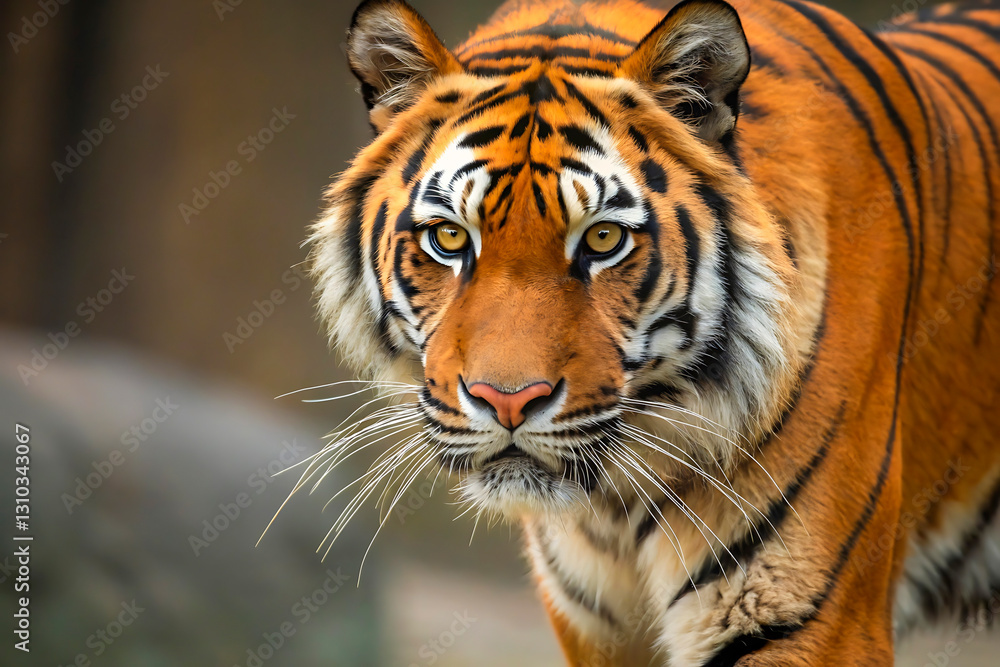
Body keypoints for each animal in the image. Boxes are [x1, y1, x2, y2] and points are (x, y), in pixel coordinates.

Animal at [306, 0, 1000, 663]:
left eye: (603, 239)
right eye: (450, 237)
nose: (507, 402)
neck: (614, 507)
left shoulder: (803, 620)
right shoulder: (596, 630)